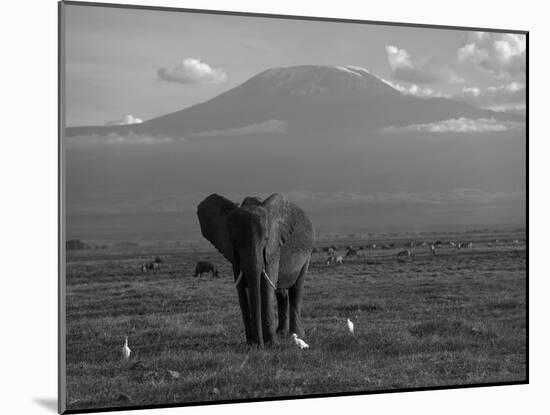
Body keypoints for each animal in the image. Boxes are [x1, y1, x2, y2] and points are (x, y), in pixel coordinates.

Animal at [197, 194, 314, 348]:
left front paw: (271, 345)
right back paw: (281, 334)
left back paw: (296, 336)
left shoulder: (273, 248)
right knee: (281, 293)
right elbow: (242, 288)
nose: (259, 345)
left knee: (296, 289)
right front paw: (251, 344)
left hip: (307, 254)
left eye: (266, 239)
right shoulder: (234, 255)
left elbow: (266, 286)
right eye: (235, 241)